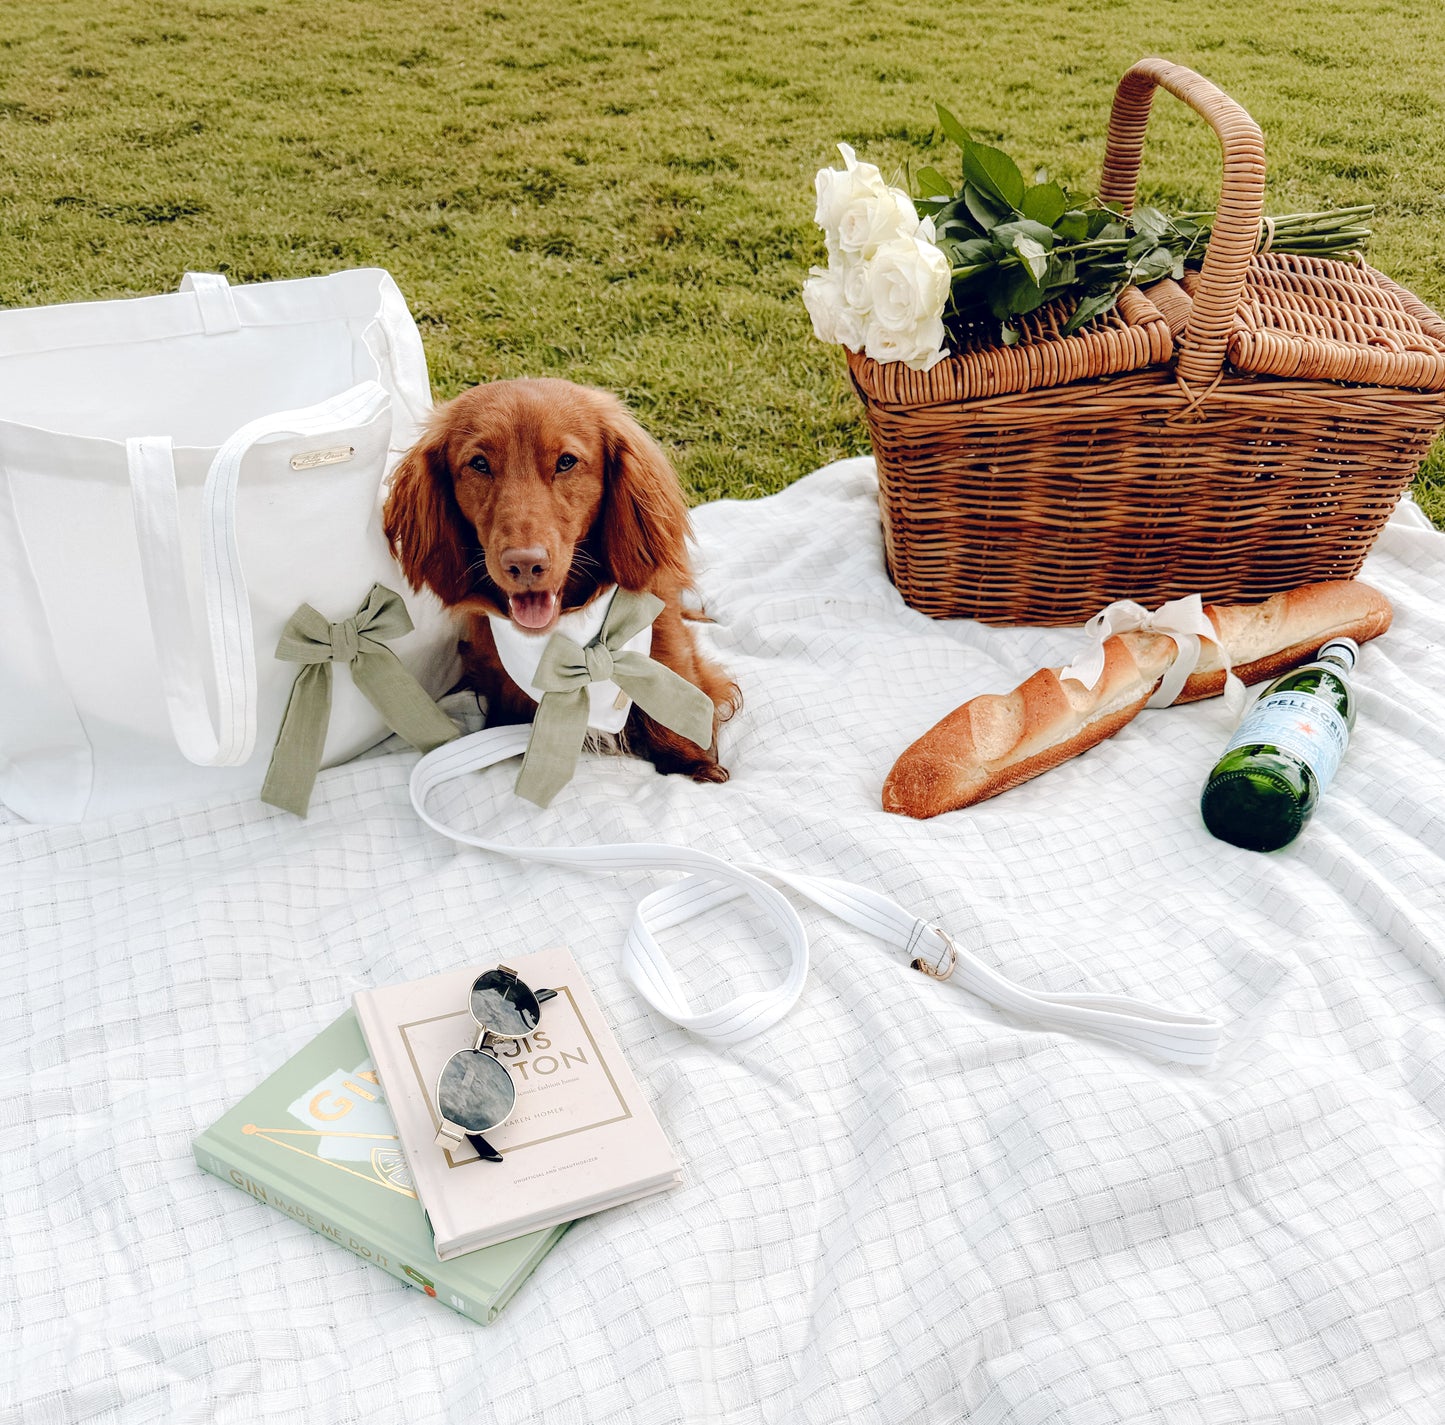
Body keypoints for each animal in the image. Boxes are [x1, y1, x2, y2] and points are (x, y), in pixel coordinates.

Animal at [384, 375, 739, 780]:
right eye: (479, 464)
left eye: (566, 462)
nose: (524, 564)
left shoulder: (665, 633)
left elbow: (676, 686)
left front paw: (691, 761)